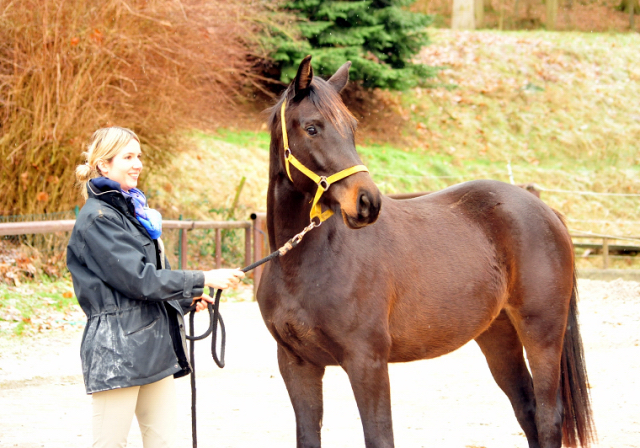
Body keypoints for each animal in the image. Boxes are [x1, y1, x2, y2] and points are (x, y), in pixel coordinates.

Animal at [255, 56, 596, 448]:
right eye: (312, 128)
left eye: (352, 128)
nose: (367, 202)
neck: (303, 263)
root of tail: (545, 210)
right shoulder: (297, 364)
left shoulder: (367, 362)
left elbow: (379, 437)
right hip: (498, 335)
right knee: (527, 411)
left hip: (542, 332)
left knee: (547, 417)